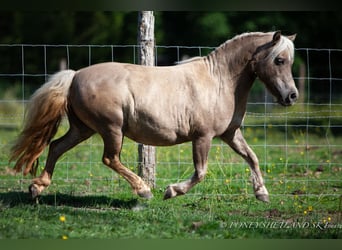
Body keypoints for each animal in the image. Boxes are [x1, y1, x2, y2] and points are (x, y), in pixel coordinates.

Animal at [10, 31, 300, 203]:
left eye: (289, 61)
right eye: (279, 60)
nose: (292, 96)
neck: (219, 81)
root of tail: (74, 76)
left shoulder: (230, 134)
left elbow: (252, 157)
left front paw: (262, 193)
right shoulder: (203, 136)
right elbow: (201, 172)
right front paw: (171, 191)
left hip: (83, 129)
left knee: (56, 147)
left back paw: (37, 188)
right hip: (111, 129)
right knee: (109, 158)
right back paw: (144, 190)